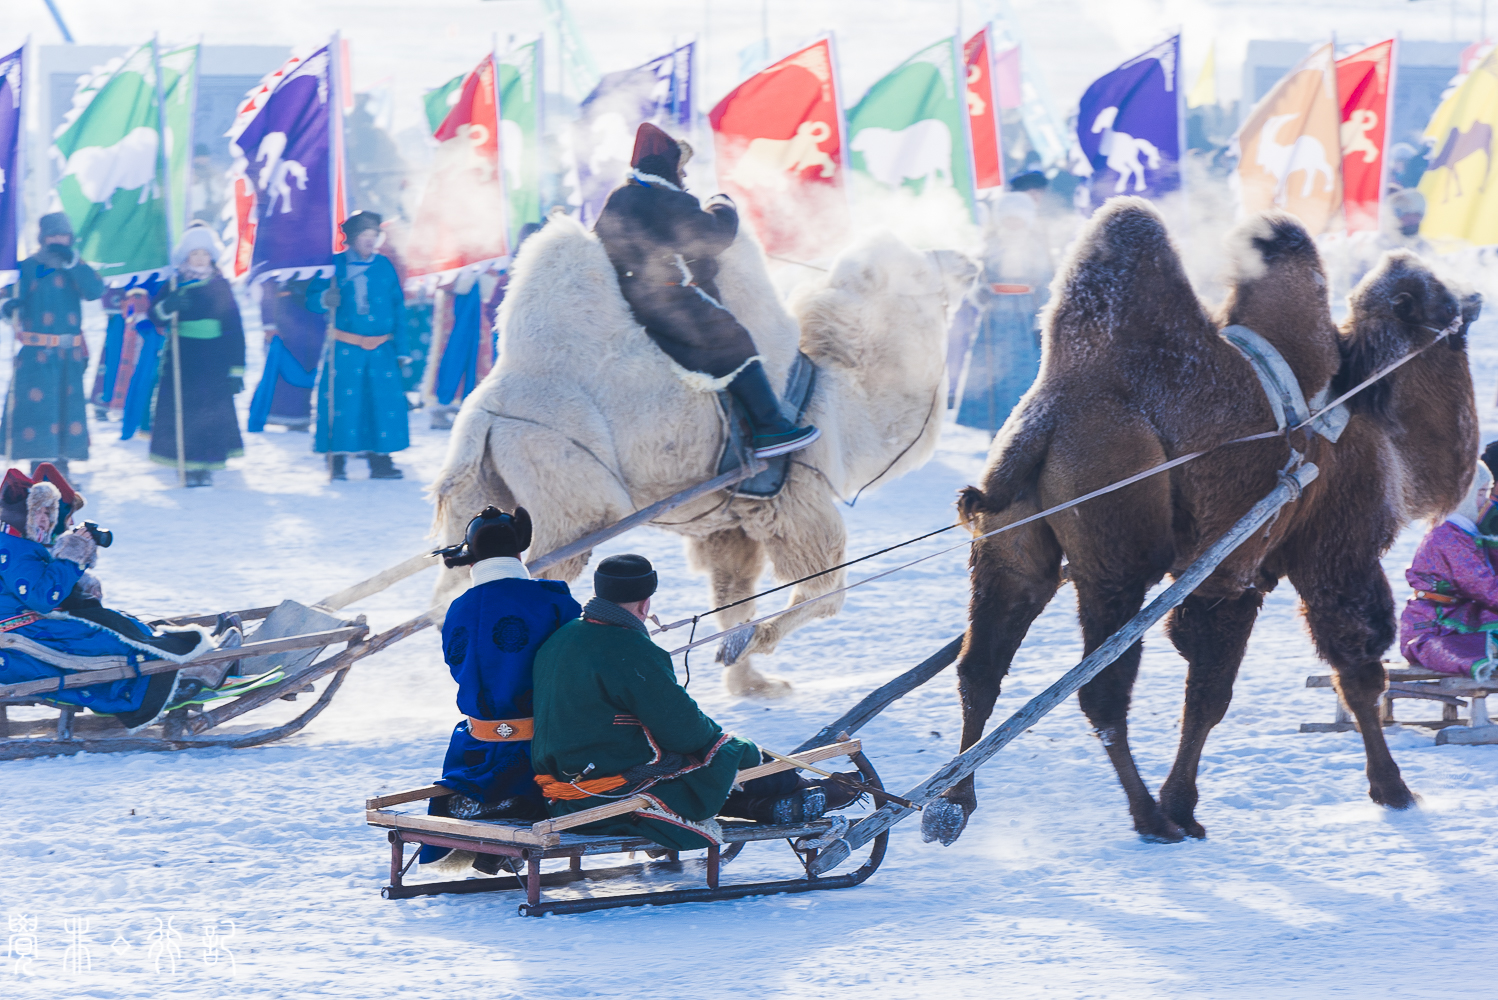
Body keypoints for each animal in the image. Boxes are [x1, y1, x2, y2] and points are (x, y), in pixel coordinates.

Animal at [428, 217, 976, 694]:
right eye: (918, 269)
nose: (968, 260)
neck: (839, 396)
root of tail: (485, 412)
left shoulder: (730, 524)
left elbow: (733, 596)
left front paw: (750, 680)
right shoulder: (799, 500)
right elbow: (825, 594)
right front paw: (754, 644)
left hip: (484, 492)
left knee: (452, 591)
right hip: (574, 496)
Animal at [928, 199, 1480, 850]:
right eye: (1445, 317)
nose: (1473, 300)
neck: (1359, 395)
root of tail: (1046, 421)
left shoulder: (1223, 577)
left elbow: (1207, 687)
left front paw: (1186, 805)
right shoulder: (1321, 554)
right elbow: (1342, 673)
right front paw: (1393, 790)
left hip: (1011, 550)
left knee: (981, 668)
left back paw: (952, 804)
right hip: (1117, 562)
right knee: (1099, 689)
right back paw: (1148, 817)